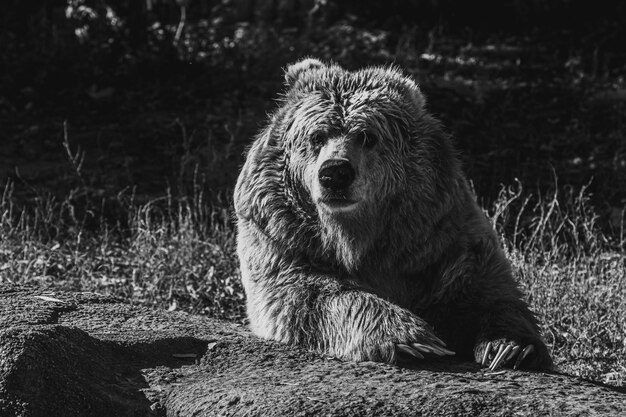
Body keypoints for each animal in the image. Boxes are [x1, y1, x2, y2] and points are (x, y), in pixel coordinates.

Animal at [234, 56, 552, 370]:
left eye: (367, 136)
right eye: (316, 136)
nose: (335, 173)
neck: (355, 236)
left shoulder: (438, 236)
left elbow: (486, 291)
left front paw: (511, 347)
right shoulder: (282, 236)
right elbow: (306, 293)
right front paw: (413, 339)